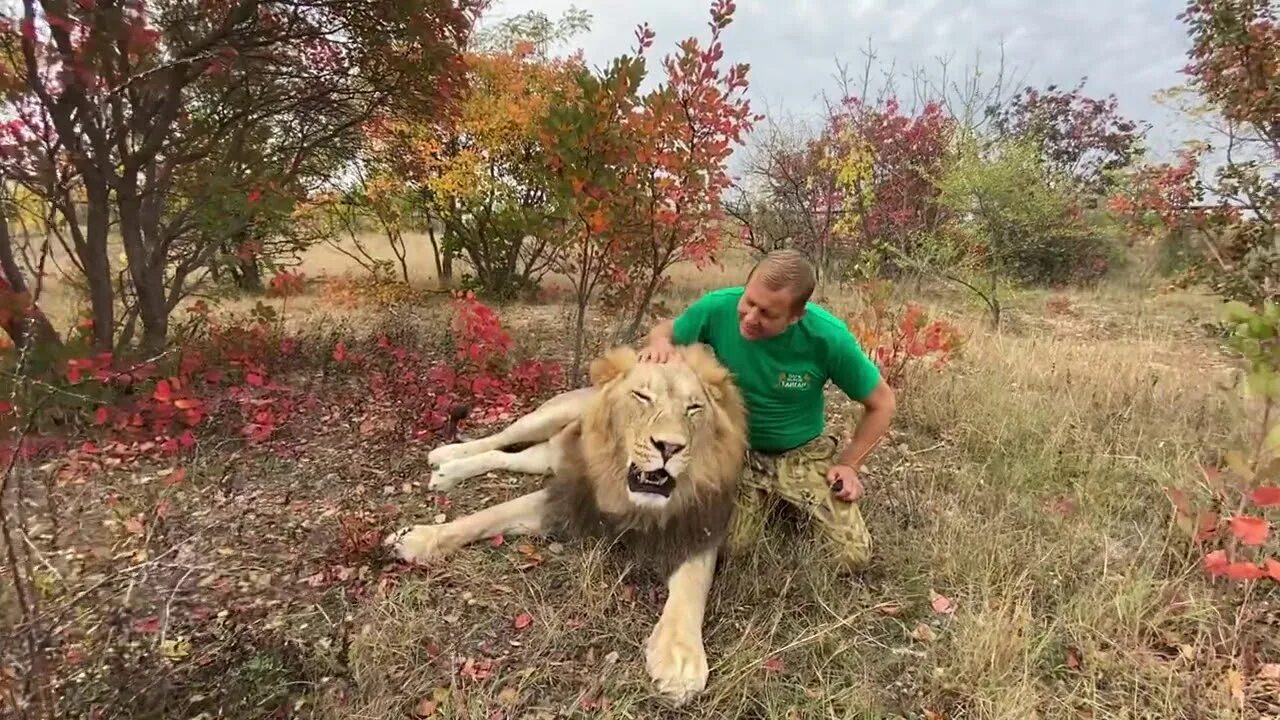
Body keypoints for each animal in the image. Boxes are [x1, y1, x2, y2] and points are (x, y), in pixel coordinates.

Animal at [384, 340, 752, 702]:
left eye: (694, 408)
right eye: (642, 396)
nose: (670, 447)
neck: (627, 494)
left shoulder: (699, 524)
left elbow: (691, 587)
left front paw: (679, 659)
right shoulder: (568, 496)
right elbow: (485, 517)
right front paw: (415, 539)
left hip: (546, 457)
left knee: (506, 457)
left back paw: (447, 472)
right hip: (546, 418)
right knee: (498, 439)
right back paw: (445, 458)